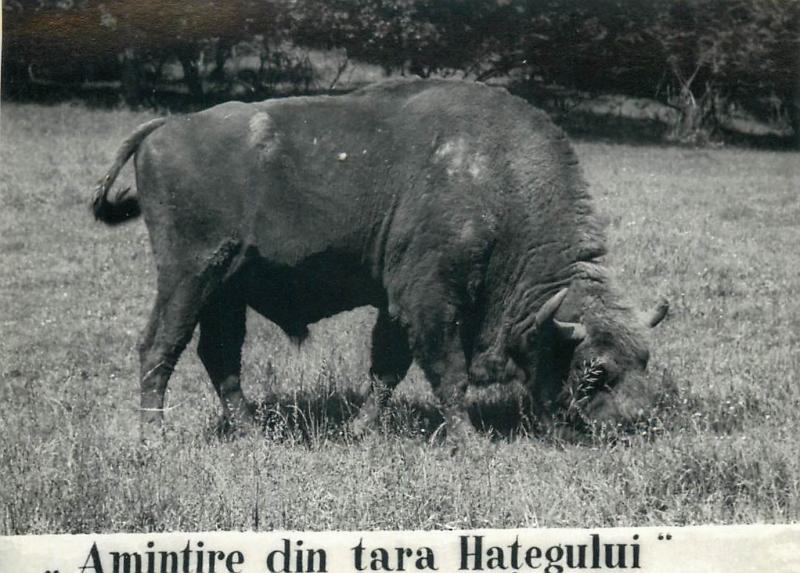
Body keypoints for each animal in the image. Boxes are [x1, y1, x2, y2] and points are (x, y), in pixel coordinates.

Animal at [94, 77, 668, 442]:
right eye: (595, 370)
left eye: (644, 360)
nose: (636, 423)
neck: (495, 181)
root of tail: (163, 127)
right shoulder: (429, 298)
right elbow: (446, 372)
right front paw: (469, 443)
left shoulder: (398, 304)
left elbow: (386, 370)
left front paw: (358, 429)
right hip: (189, 276)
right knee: (159, 348)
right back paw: (155, 441)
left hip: (225, 290)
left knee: (220, 358)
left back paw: (254, 434)